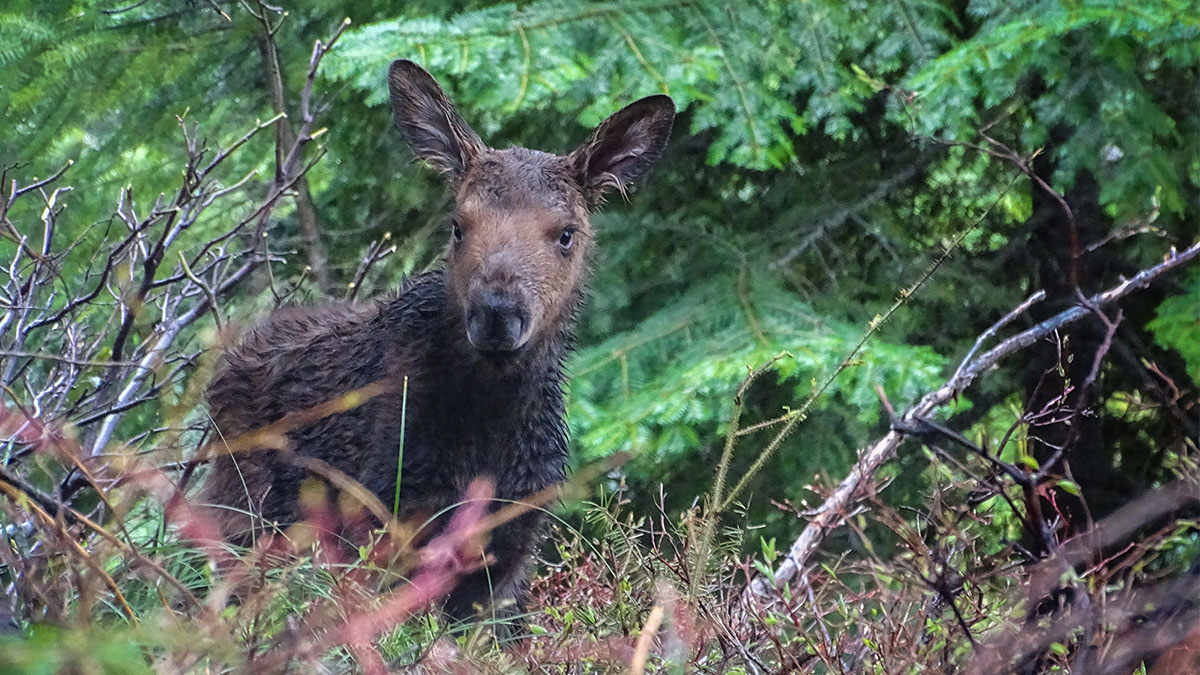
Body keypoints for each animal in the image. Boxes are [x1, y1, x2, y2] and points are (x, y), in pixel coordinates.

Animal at [204, 60, 676, 619]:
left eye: (566, 233)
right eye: (458, 225)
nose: (497, 314)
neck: (490, 425)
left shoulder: (508, 552)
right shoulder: (387, 523)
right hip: (241, 519)